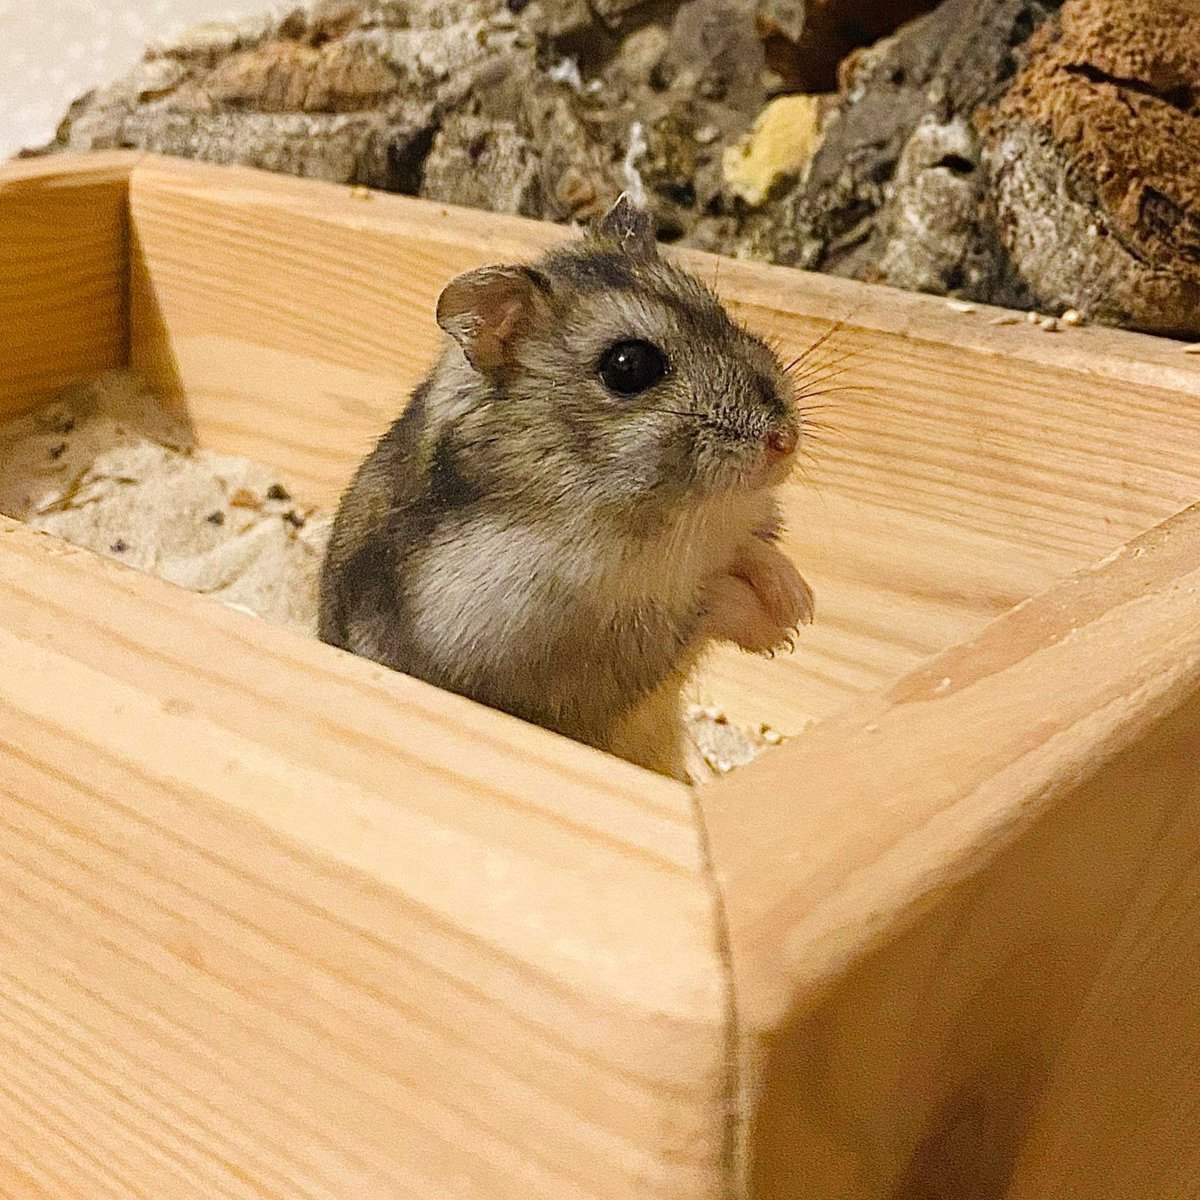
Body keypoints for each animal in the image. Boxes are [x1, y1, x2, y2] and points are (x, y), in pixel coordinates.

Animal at [318, 196, 813, 782]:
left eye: (719, 310)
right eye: (628, 366)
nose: (786, 440)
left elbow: (750, 550)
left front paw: (796, 601)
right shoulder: (560, 645)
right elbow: (700, 603)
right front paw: (783, 631)